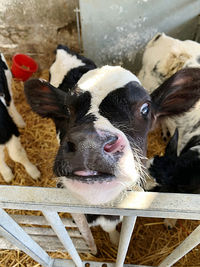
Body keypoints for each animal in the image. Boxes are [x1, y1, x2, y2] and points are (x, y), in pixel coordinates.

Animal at [0, 53, 40, 183]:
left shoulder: (11, 131)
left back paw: (19, 121)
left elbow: (17, 155)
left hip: (6, 77)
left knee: (10, 101)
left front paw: (34, 172)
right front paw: (7, 175)